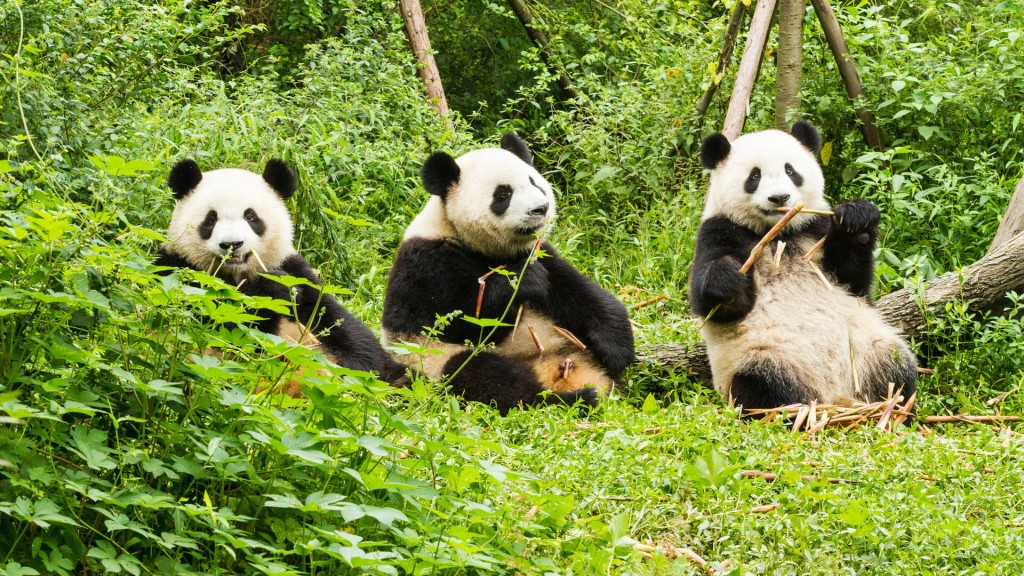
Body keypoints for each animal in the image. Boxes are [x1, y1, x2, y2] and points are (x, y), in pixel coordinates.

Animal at [153, 155, 405, 385]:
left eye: (250, 216)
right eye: (211, 219)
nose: (232, 244)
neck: (236, 275)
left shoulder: (296, 271)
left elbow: (338, 323)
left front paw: (358, 371)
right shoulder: (176, 269)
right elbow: (217, 321)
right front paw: (271, 290)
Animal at [385, 132, 634, 409]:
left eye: (534, 182)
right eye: (503, 195)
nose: (541, 208)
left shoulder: (540, 252)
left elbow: (578, 291)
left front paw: (616, 348)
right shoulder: (426, 264)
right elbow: (457, 320)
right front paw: (525, 281)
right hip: (433, 360)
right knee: (486, 377)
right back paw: (570, 399)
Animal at [692, 120, 917, 407]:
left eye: (791, 170)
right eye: (754, 176)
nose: (779, 198)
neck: (779, 232)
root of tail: (835, 396)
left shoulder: (814, 228)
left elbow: (853, 281)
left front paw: (858, 220)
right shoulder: (719, 230)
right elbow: (718, 306)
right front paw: (727, 279)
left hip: (870, 350)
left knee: (897, 371)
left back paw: (894, 404)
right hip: (763, 356)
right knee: (763, 387)